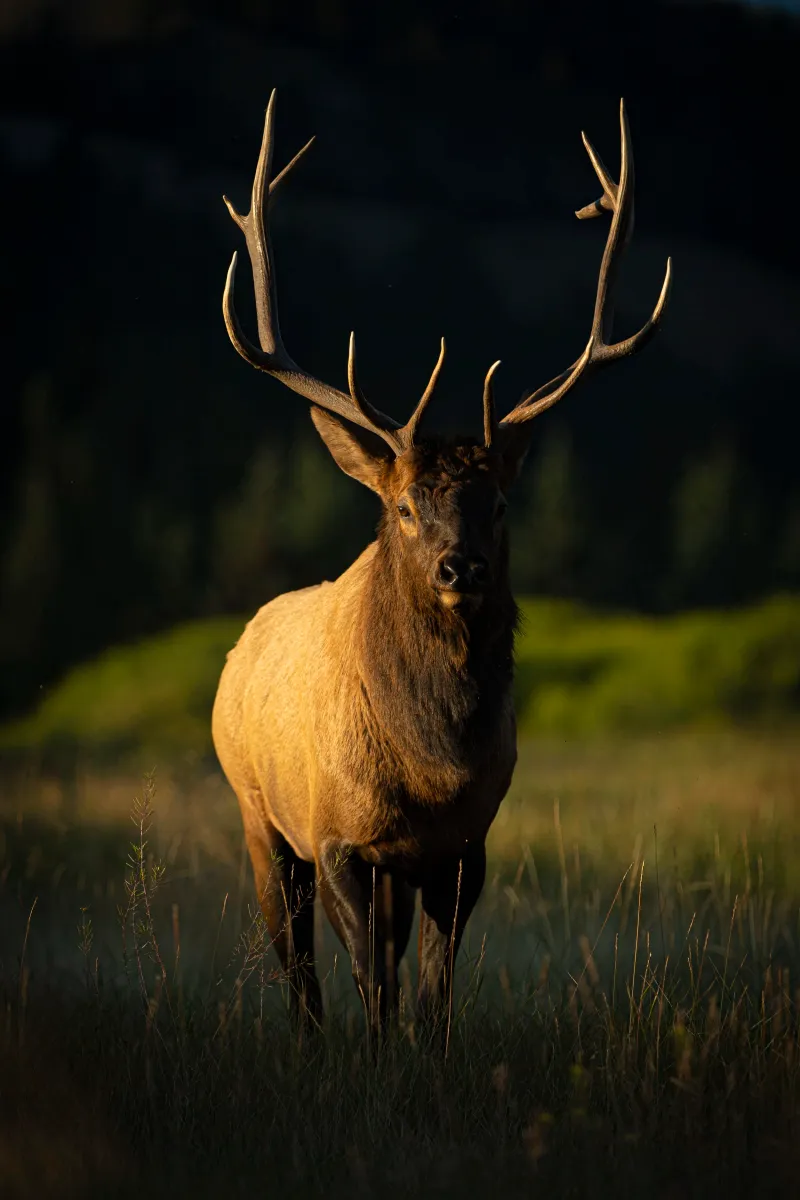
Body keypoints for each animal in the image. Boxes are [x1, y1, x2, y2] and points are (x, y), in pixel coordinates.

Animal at [212, 92, 671, 1029]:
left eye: (498, 503)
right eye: (403, 506)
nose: (463, 570)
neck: (430, 768)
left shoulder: (464, 847)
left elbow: (430, 1001)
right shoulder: (337, 834)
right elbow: (372, 991)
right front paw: (372, 1062)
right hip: (257, 815)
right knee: (300, 975)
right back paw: (307, 1044)